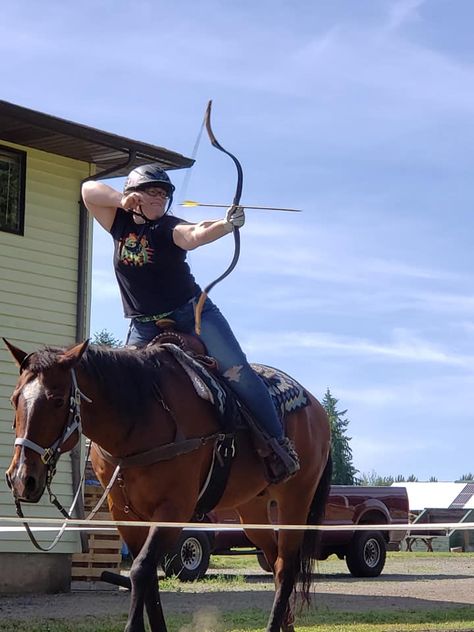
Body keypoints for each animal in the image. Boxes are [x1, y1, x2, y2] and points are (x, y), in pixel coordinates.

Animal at [3, 340, 332, 632]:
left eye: (57, 400)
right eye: (15, 399)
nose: (21, 478)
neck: (140, 422)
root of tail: (316, 409)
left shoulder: (173, 510)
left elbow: (140, 571)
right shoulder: (124, 514)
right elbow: (147, 577)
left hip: (295, 501)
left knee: (287, 567)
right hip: (252, 510)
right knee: (275, 563)